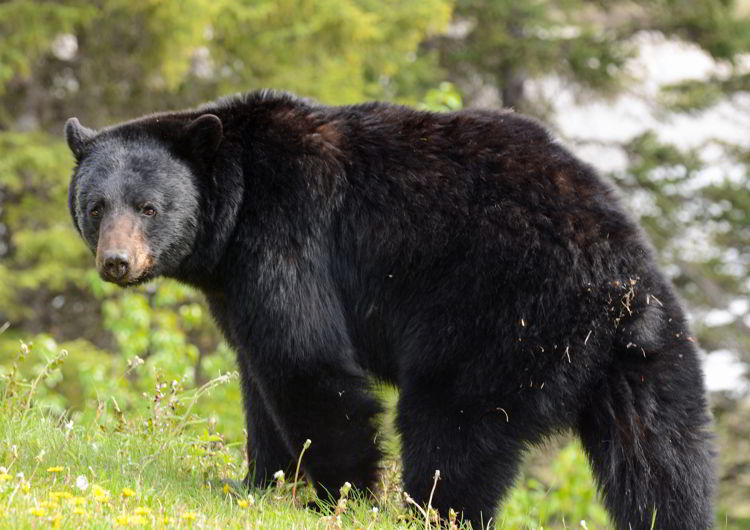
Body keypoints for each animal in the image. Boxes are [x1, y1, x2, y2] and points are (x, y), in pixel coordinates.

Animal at [66, 88, 716, 524]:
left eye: (148, 207)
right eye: (96, 206)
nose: (117, 262)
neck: (235, 206)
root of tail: (620, 287)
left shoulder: (287, 232)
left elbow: (306, 362)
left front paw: (338, 496)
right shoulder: (233, 279)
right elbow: (258, 373)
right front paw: (256, 481)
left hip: (502, 314)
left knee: (452, 425)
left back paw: (422, 513)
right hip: (652, 360)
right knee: (664, 460)